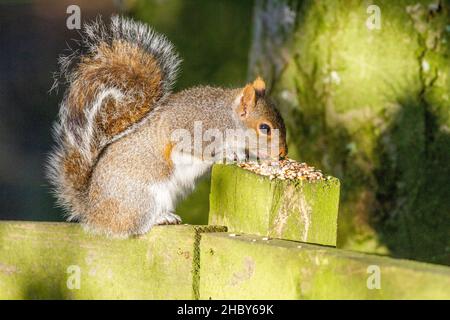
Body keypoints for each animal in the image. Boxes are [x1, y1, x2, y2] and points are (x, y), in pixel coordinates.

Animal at [46, 15, 288, 238]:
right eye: (264, 128)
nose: (283, 154)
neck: (226, 118)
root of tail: (92, 212)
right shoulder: (191, 129)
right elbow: (198, 150)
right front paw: (228, 153)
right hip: (143, 198)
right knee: (135, 226)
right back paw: (161, 218)